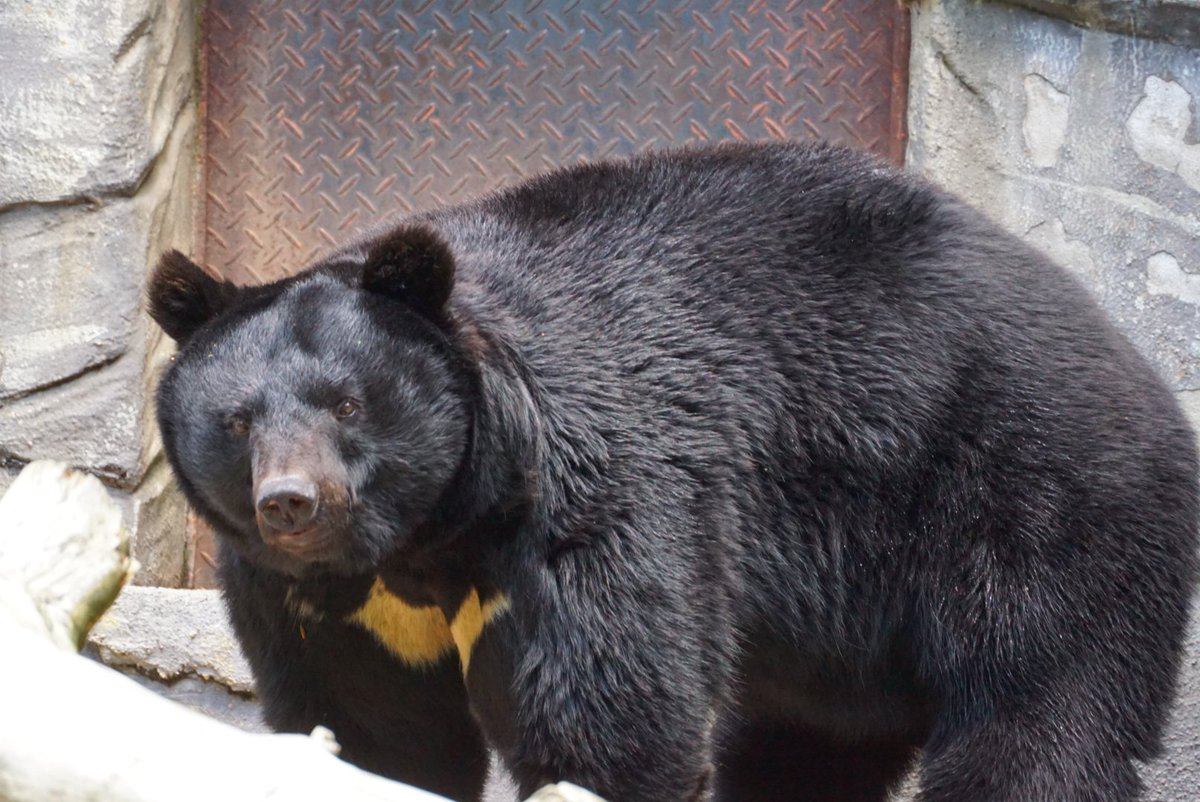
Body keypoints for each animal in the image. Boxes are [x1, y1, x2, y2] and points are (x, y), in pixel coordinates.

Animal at [147, 141, 1199, 802]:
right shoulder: (324, 597)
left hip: (1030, 500)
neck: (425, 539)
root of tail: (1139, 368)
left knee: (1038, 714)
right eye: (238, 420)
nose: (292, 504)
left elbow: (611, 720)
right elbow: (373, 727)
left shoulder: (588, 496)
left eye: (347, 404)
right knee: (806, 745)